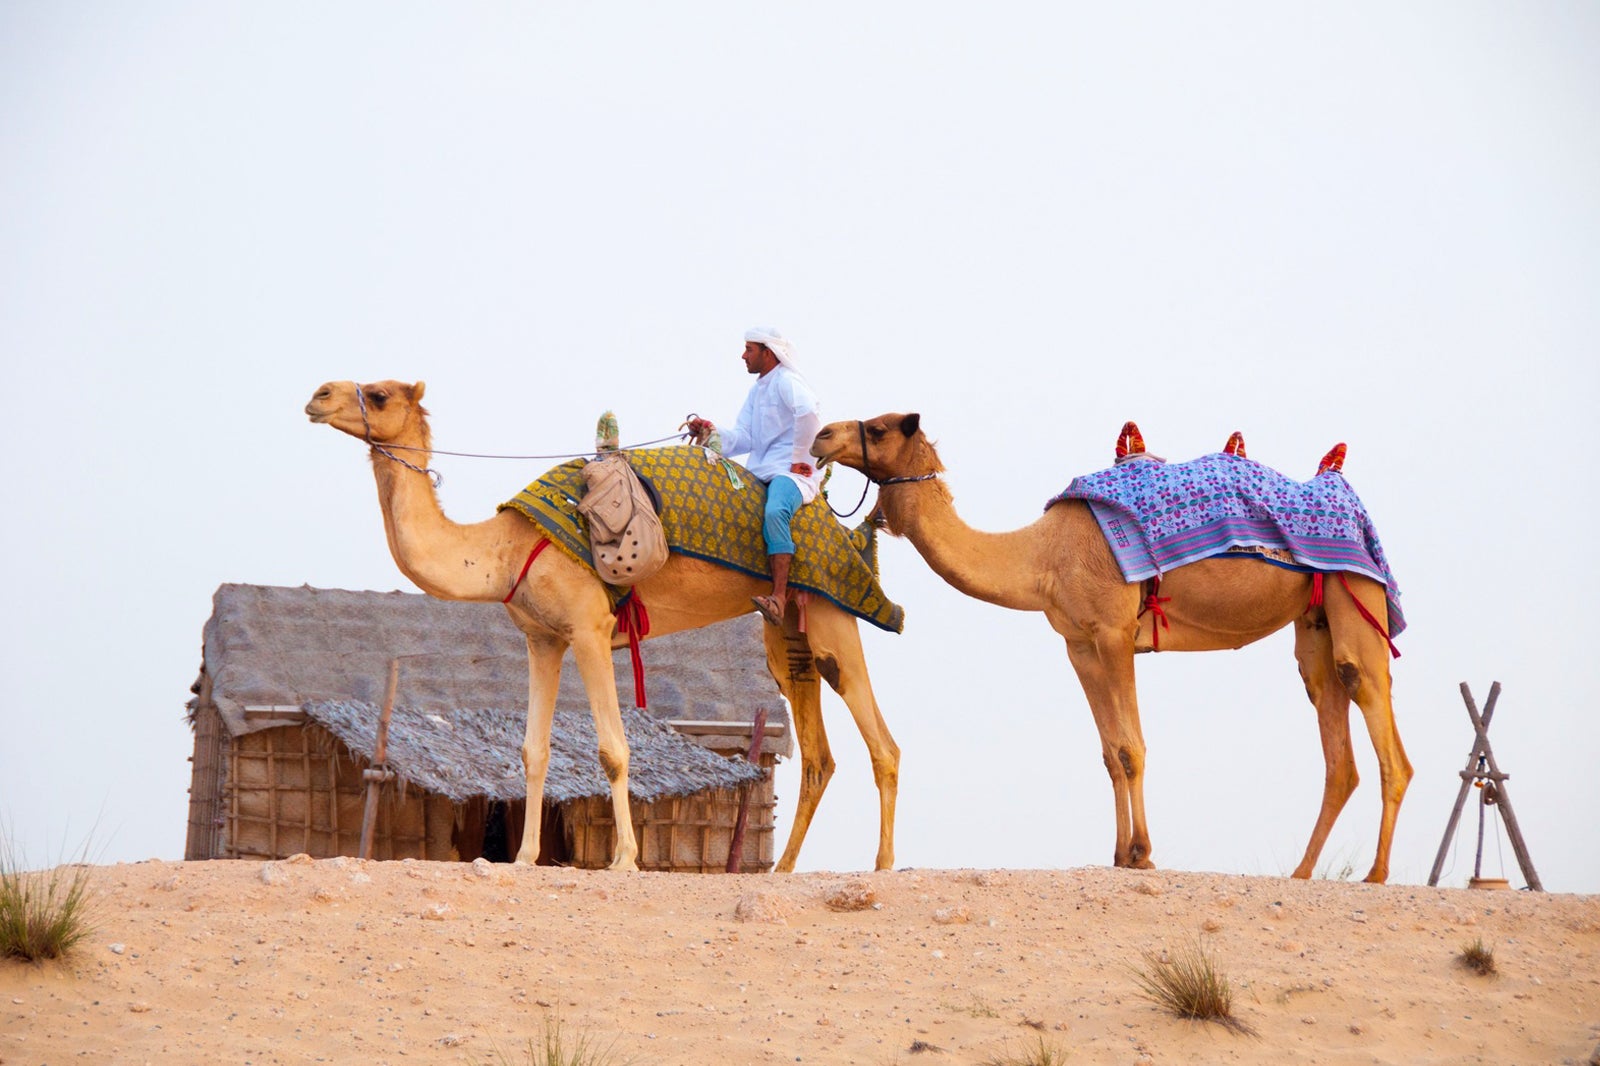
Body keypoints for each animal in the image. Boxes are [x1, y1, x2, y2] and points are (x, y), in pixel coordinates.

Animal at [300, 377, 902, 870]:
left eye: (379, 394)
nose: (318, 395)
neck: (504, 548)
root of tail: (846, 534)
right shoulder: (543, 638)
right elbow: (533, 751)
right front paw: (525, 857)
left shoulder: (589, 629)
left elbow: (613, 750)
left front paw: (625, 859)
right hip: (788, 632)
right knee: (819, 754)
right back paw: (784, 870)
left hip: (831, 614)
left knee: (882, 743)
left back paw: (882, 864)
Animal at [812, 409, 1414, 883]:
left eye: (878, 426)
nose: (820, 435)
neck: (1042, 555)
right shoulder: (1079, 643)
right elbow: (1108, 753)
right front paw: (1121, 853)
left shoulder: (1115, 631)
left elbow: (1131, 746)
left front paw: (1143, 853)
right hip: (1313, 622)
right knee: (1337, 741)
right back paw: (1303, 871)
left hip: (1357, 593)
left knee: (1378, 718)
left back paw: (1376, 873)